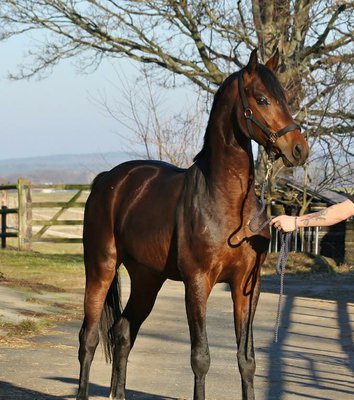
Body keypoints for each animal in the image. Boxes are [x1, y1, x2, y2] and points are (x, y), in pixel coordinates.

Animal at [76, 50, 306, 400]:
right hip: (101, 266)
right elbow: (201, 357)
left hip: (147, 278)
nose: (299, 149)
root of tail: (108, 180)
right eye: (263, 99)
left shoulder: (247, 285)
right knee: (88, 338)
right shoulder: (197, 283)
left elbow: (247, 360)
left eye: (285, 98)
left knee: (123, 332)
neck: (227, 203)